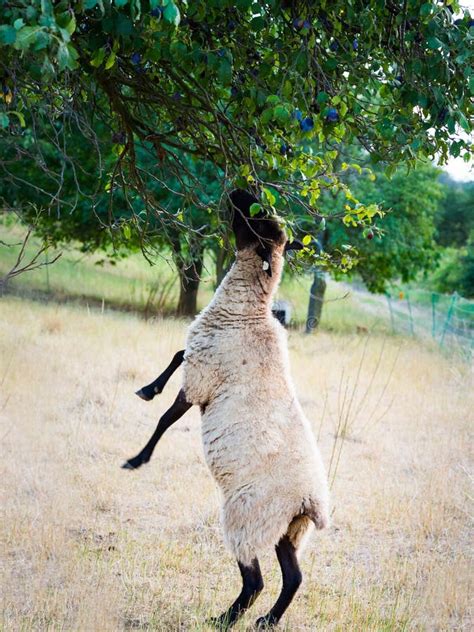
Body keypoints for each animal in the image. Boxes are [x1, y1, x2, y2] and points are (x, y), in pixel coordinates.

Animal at [123, 189, 330, 628]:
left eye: (257, 224)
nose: (237, 192)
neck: (245, 313)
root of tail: (311, 503)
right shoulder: (200, 360)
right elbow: (178, 352)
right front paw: (148, 388)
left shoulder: (203, 380)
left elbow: (166, 418)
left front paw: (137, 458)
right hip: (285, 529)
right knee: (293, 577)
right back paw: (266, 621)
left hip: (246, 520)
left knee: (255, 581)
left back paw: (224, 619)